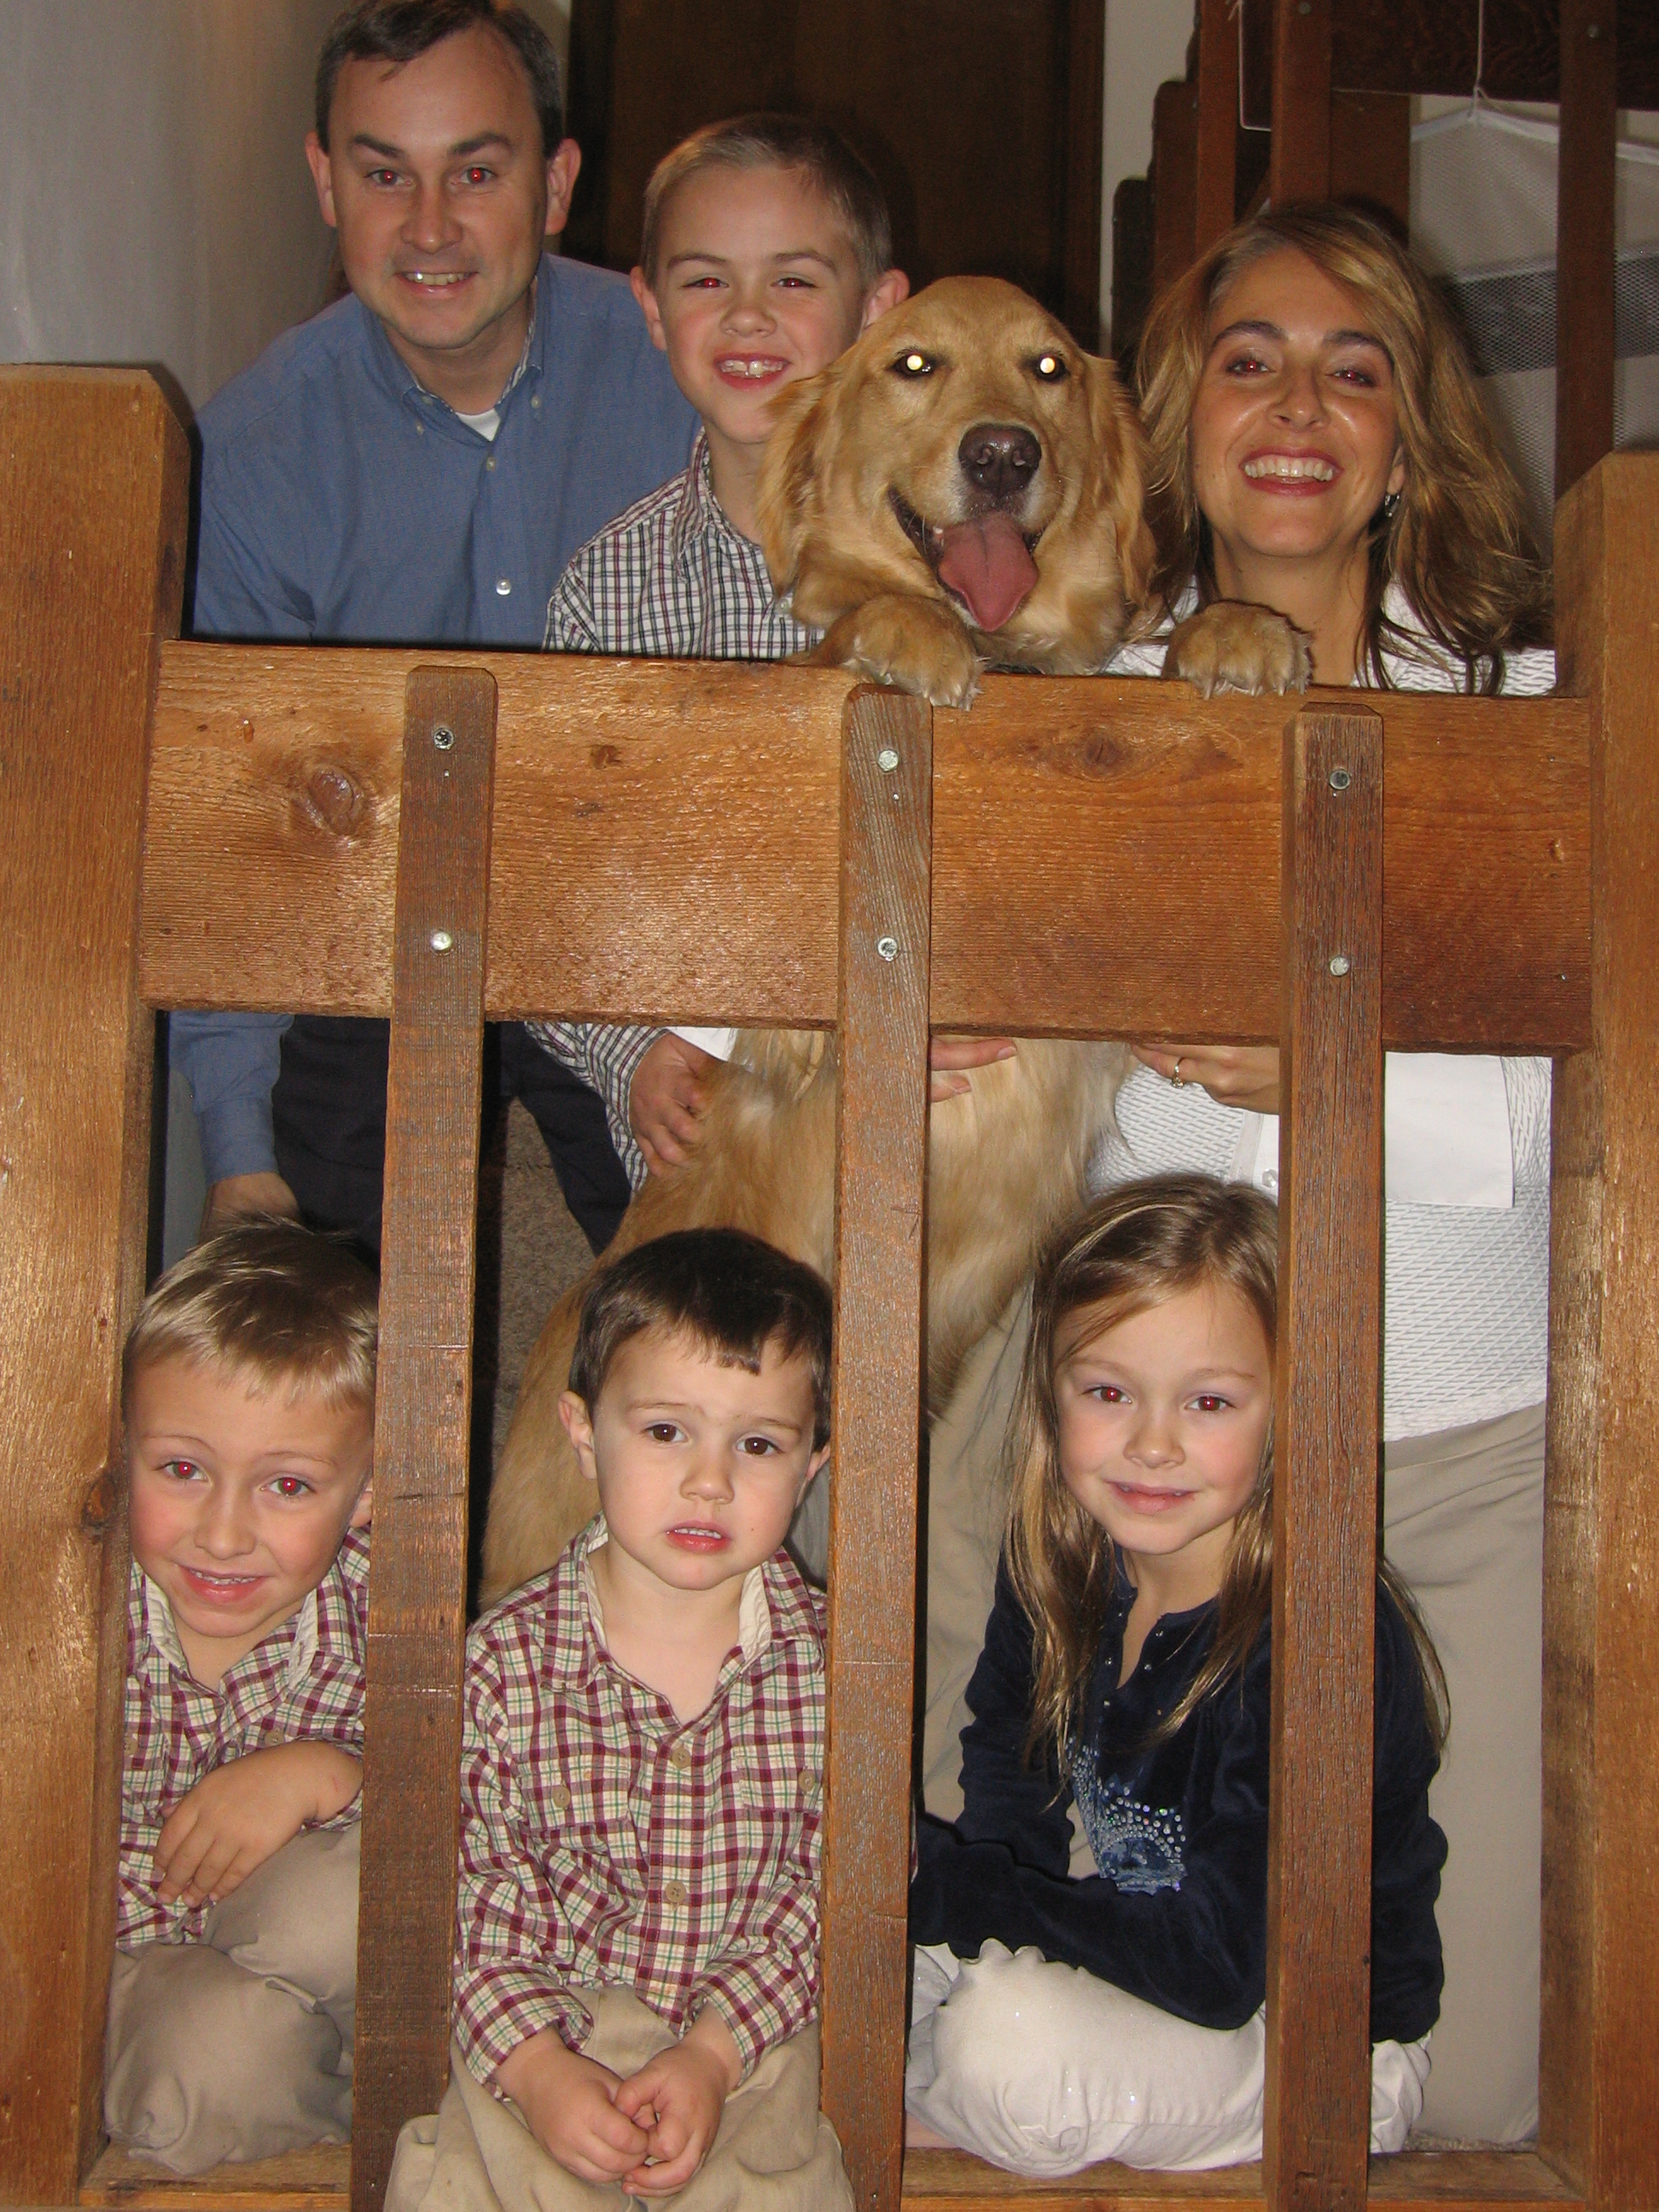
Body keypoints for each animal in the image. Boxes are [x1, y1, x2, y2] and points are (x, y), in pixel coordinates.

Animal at [481, 279, 1305, 1603]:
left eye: (1049, 368)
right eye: (914, 365)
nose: (1003, 453)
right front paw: (905, 633)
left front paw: (1236, 629)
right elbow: (855, 628)